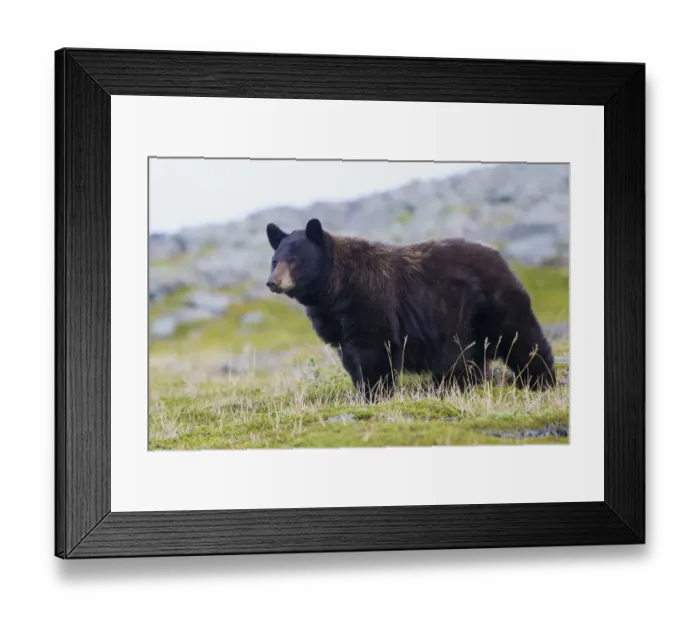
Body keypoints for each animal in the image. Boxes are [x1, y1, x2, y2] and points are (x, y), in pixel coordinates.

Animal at [265, 218, 556, 401]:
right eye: (275, 260)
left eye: (294, 260)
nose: (272, 282)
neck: (335, 291)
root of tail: (500, 256)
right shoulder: (336, 323)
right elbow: (349, 357)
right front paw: (360, 391)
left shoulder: (371, 302)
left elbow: (375, 350)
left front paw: (375, 394)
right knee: (469, 359)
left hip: (490, 305)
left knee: (521, 339)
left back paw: (541, 380)